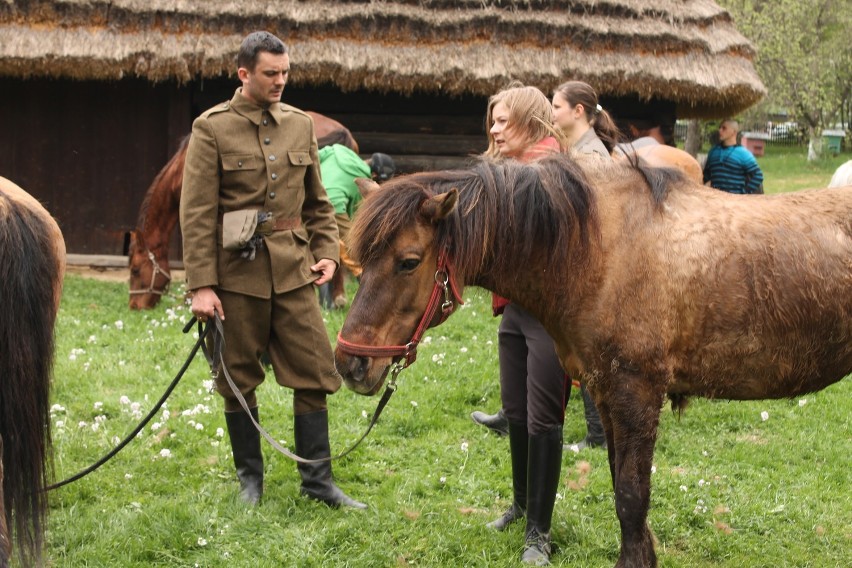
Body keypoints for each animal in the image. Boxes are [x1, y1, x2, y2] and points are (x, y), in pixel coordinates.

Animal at [332, 155, 852, 568]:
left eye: (408, 261)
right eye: (361, 259)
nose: (349, 364)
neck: (598, 252)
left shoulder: (637, 394)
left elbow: (631, 496)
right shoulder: (605, 393)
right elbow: (621, 484)